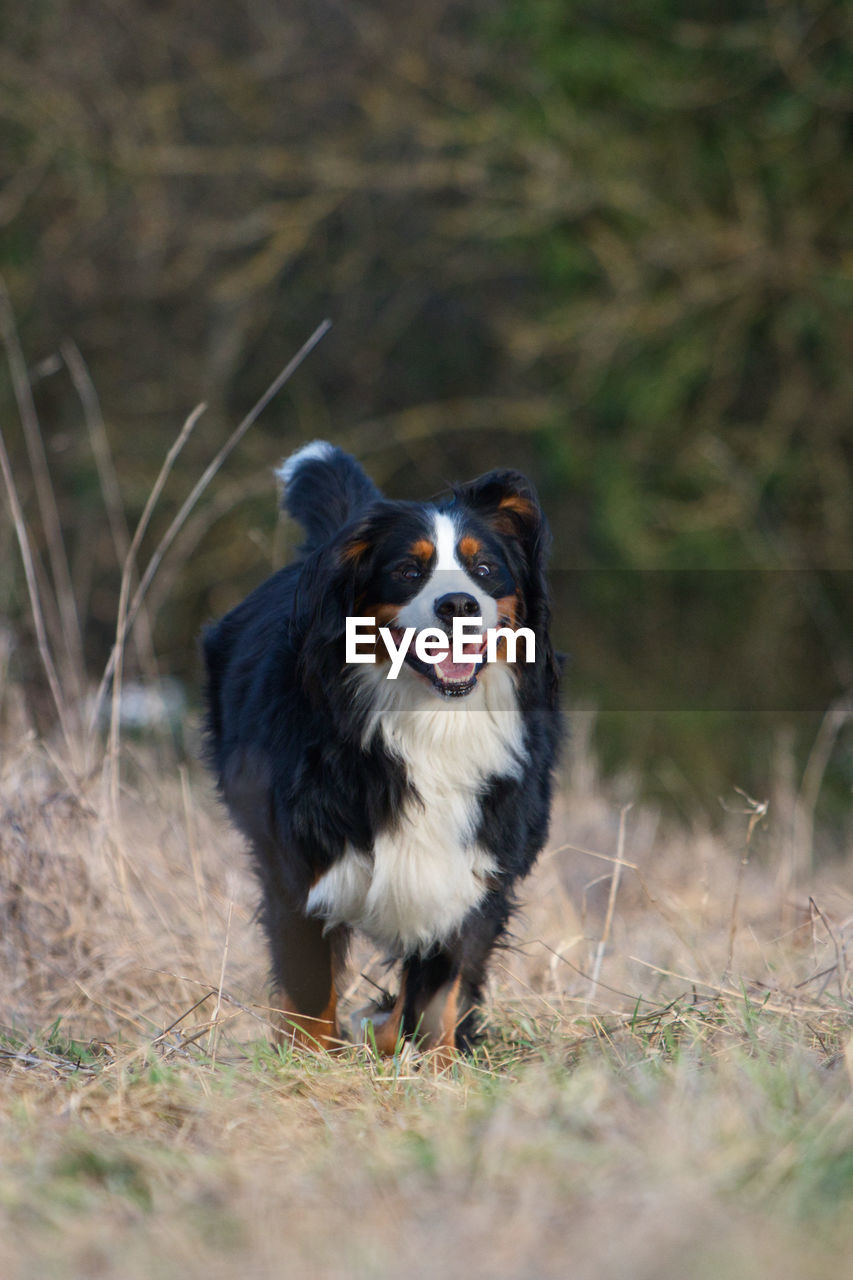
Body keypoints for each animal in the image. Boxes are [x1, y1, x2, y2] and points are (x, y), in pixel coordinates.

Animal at [199, 442, 558, 1059]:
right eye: (408, 571)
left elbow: (440, 994)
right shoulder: (302, 863)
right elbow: (310, 991)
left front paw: (433, 1064)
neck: (431, 721)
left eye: (486, 569)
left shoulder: (475, 866)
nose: (459, 603)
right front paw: (310, 1064)